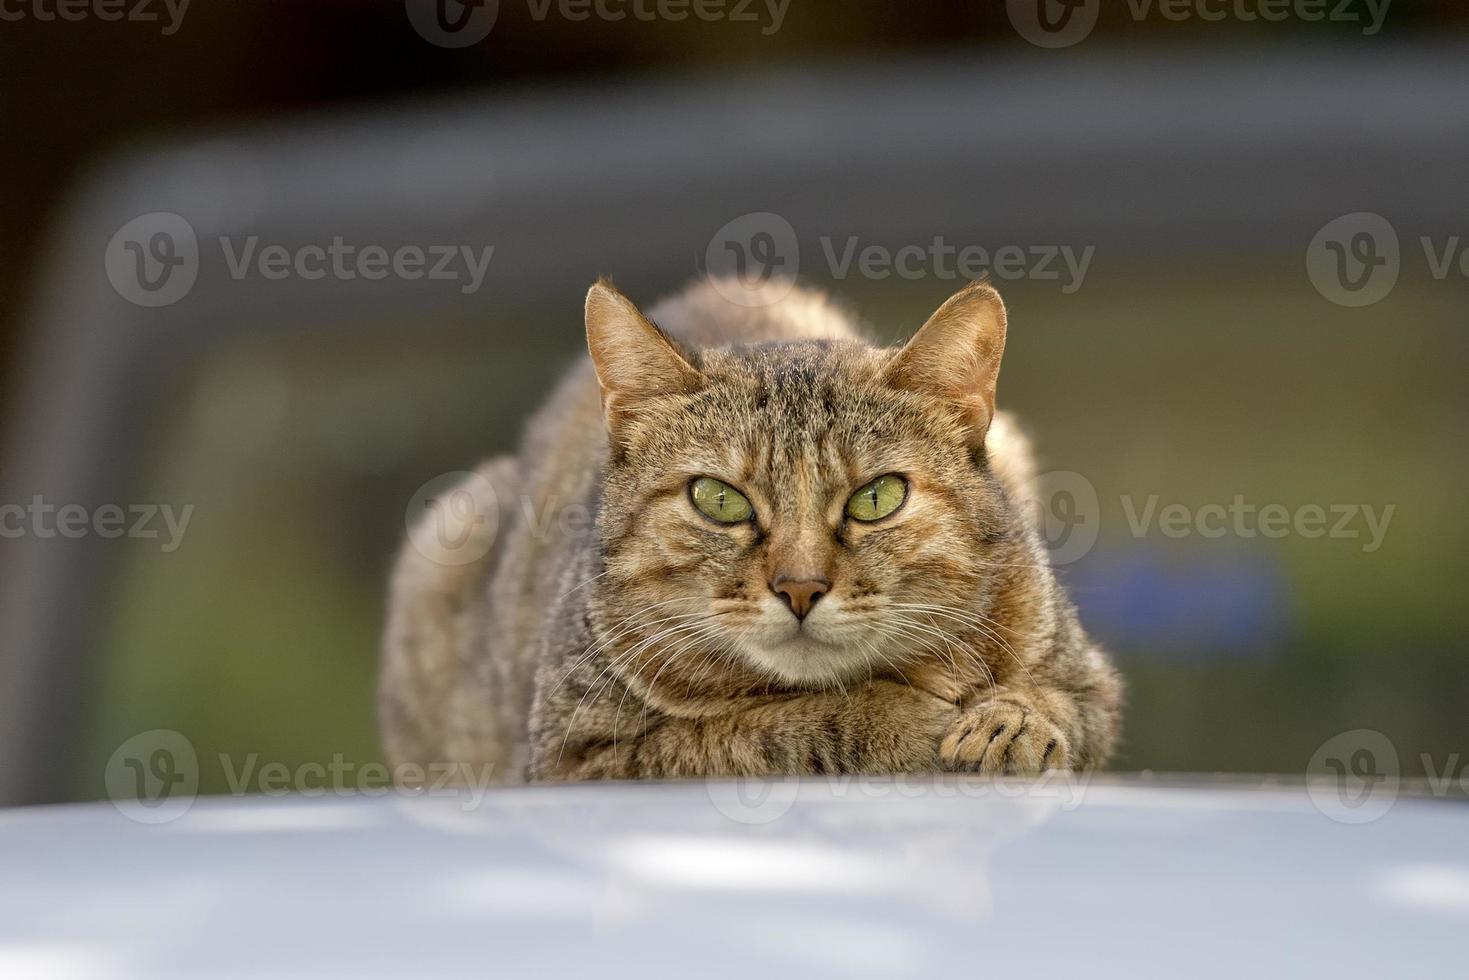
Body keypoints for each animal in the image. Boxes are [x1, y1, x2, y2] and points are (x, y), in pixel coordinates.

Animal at [381, 276, 1122, 781]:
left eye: (876, 497)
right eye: (719, 500)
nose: (799, 588)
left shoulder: (1090, 684)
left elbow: (1062, 707)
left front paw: (1010, 721)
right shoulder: (582, 760)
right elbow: (773, 727)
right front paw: (909, 719)